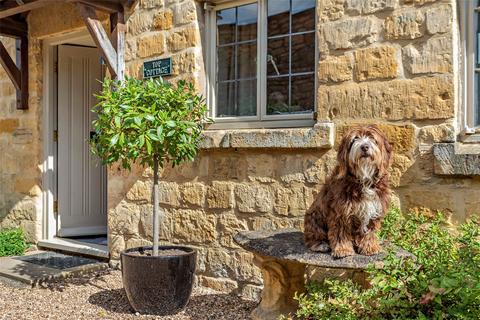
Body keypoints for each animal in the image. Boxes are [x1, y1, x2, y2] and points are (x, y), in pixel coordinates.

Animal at [306, 125, 392, 258]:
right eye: (355, 139)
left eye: (372, 138)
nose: (365, 147)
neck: (364, 179)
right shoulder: (340, 211)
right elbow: (340, 232)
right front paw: (343, 249)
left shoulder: (374, 209)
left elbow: (370, 231)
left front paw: (370, 247)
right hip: (314, 216)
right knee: (313, 236)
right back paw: (320, 244)